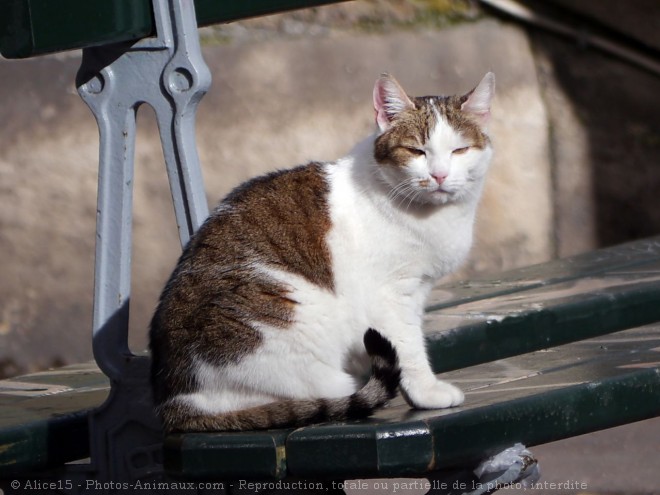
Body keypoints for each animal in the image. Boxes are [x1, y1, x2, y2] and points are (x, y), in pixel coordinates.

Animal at [150, 71, 496, 432]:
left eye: (460, 150)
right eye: (416, 151)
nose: (439, 175)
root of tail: (176, 402)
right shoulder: (391, 295)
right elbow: (409, 346)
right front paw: (426, 392)